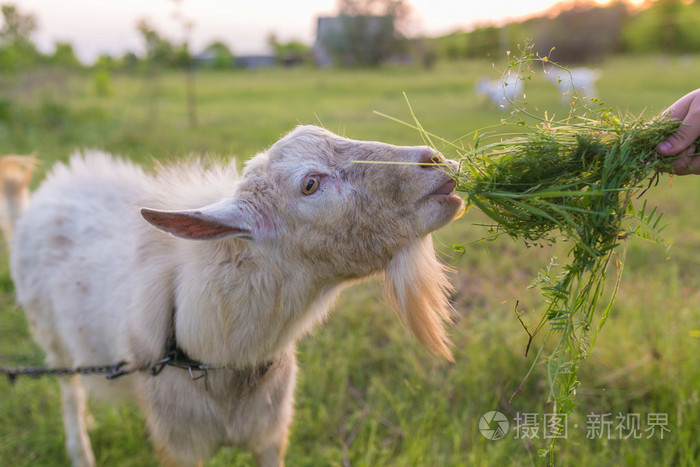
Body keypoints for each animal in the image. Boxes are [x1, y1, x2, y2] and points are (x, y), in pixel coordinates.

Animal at [0, 126, 464, 466]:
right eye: (310, 184)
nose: (436, 161)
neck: (215, 355)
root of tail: (42, 196)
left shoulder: (270, 433)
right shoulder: (180, 446)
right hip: (51, 337)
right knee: (69, 392)